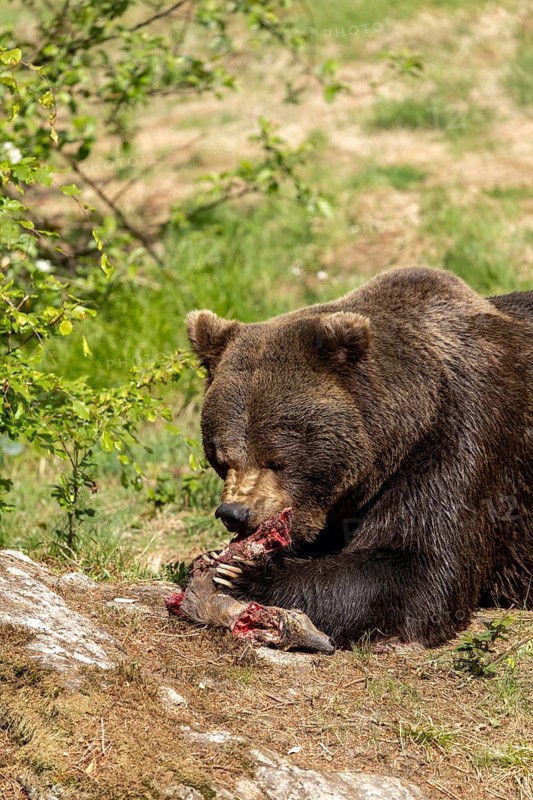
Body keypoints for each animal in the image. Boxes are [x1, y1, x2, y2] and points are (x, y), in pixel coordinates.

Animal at [186, 266, 533, 648]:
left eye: (276, 459)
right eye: (222, 458)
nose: (235, 513)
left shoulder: (467, 434)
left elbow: (416, 568)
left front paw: (241, 572)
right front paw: (212, 556)